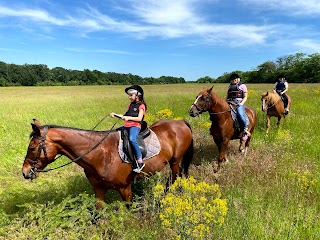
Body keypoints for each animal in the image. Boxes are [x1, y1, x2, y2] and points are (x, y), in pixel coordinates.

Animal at [22, 119, 194, 207]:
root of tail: (181, 122)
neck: (101, 154)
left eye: (32, 147)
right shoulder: (98, 189)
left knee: (174, 177)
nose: (25, 172)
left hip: (175, 161)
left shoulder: (125, 188)